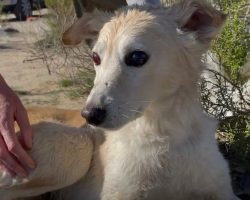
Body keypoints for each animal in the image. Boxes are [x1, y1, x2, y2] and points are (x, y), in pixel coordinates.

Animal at [0, 0, 240, 199]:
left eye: (137, 56)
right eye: (95, 57)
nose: (89, 115)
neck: (164, 134)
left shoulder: (223, 191)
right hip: (78, 146)